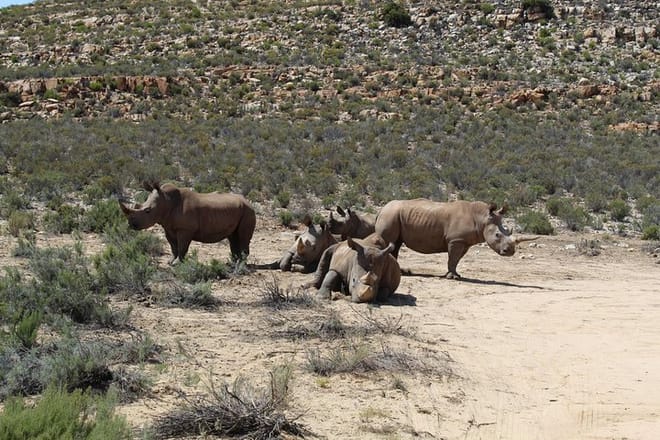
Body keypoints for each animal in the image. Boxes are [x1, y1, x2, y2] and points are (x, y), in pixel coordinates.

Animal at [119, 182, 256, 264]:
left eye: (147, 211)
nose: (131, 225)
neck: (167, 201)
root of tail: (247, 201)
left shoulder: (185, 229)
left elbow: (182, 247)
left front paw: (177, 263)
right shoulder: (168, 227)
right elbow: (173, 246)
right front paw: (170, 262)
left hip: (248, 211)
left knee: (242, 236)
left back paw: (240, 264)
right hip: (240, 210)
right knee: (233, 237)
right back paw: (233, 262)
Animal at [374, 199, 537, 279]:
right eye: (497, 235)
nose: (510, 252)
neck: (482, 218)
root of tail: (381, 209)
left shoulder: (464, 241)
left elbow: (456, 259)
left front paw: (455, 275)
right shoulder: (456, 240)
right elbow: (452, 258)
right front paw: (452, 277)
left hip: (394, 215)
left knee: (396, 244)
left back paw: (401, 272)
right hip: (390, 215)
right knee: (390, 242)